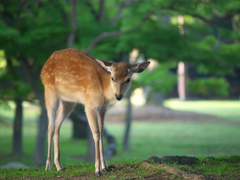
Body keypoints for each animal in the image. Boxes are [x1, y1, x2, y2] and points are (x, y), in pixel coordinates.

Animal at [40, 48, 150, 176]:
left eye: (128, 79)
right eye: (113, 78)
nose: (118, 96)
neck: (103, 92)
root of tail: (45, 64)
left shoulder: (103, 107)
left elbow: (102, 132)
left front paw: (105, 167)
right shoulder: (90, 105)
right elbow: (96, 133)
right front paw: (98, 169)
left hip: (68, 100)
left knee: (58, 123)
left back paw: (59, 166)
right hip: (49, 90)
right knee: (51, 125)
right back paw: (48, 167)